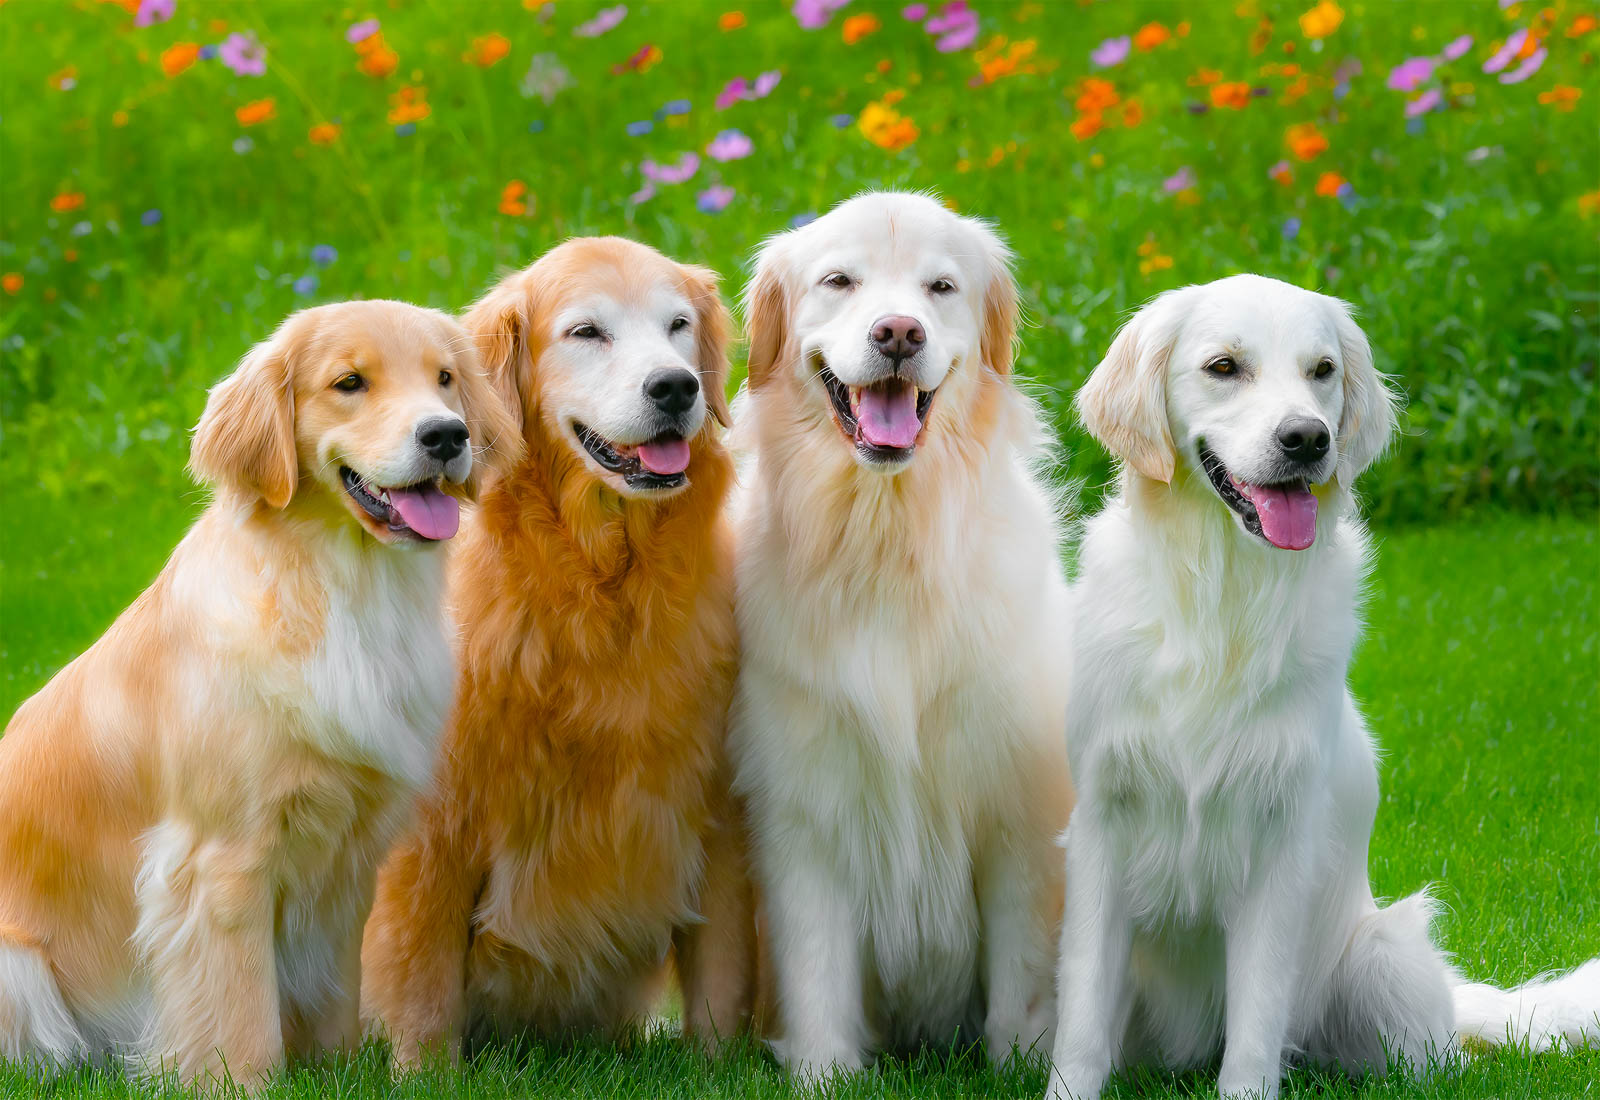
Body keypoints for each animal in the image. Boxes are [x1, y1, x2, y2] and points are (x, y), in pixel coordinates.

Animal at [0, 298, 512, 1080]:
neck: (340, 588)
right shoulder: (222, 859)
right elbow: (241, 1009)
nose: (447, 434)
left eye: (446, 379)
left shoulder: (350, 850)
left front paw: (337, 1070)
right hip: (18, 966)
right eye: (349, 382)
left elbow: (334, 994)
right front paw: (241, 1081)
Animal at [361, 238, 755, 1068]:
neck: (596, 583)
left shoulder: (716, 811)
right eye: (586, 332)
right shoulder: (434, 828)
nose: (677, 387)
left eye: (677, 325)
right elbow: (420, 980)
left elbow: (721, 978)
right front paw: (426, 1072)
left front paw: (722, 1069)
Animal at [732, 193, 1081, 1080]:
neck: (890, 536)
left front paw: (1021, 1066)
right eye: (839, 281)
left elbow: (1024, 975)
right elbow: (816, 968)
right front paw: (823, 1074)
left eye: (941, 287)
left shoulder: (1016, 813)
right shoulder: (805, 811)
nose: (898, 333)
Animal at [1043, 270, 1593, 1093]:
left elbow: (1256, 1023)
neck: (1223, 601)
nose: (1306, 438)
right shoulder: (1104, 826)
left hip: (1384, 958)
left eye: (1322, 371)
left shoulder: (1279, 839)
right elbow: (1082, 1015)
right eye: (1224, 367)